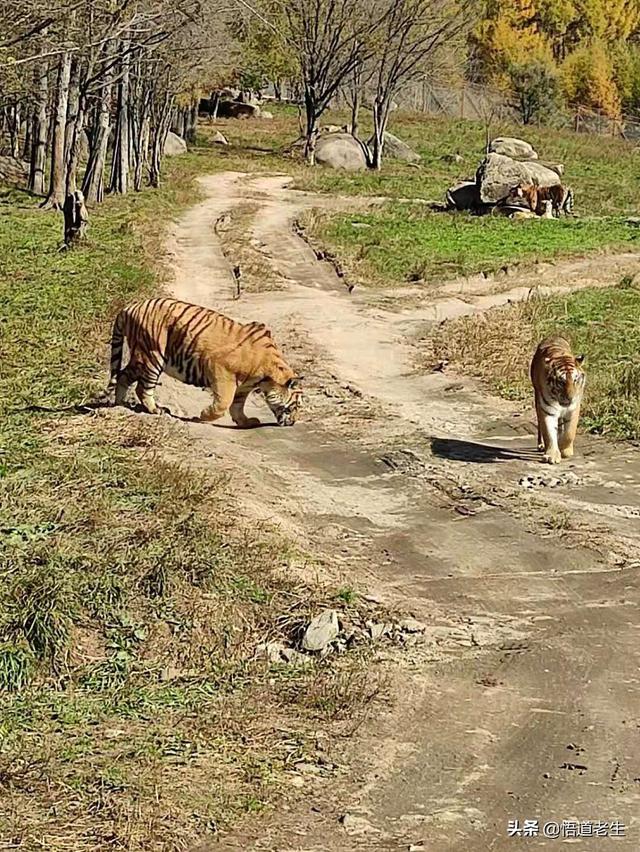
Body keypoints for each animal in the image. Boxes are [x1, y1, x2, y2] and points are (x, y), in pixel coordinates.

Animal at [107, 300, 302, 430]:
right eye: (295, 406)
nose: (293, 422)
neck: (265, 377)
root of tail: (130, 307)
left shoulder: (243, 387)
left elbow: (237, 406)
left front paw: (246, 422)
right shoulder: (221, 371)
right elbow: (224, 403)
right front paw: (202, 416)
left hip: (140, 357)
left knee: (123, 375)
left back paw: (120, 404)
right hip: (152, 354)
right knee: (142, 387)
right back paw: (156, 410)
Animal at [528, 334, 584, 466]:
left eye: (575, 380)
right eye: (561, 382)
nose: (570, 398)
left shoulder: (574, 409)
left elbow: (569, 433)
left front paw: (565, 450)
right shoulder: (547, 410)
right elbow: (549, 433)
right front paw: (551, 455)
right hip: (537, 398)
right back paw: (541, 445)